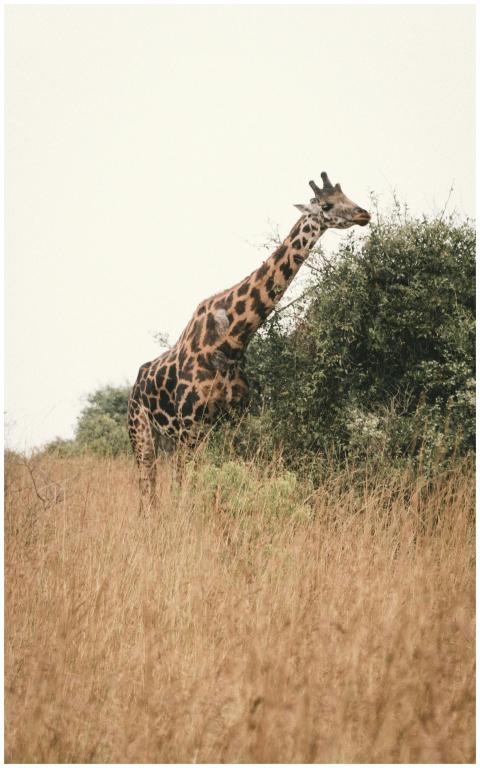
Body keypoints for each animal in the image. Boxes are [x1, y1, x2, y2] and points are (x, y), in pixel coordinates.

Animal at [128, 172, 370, 511]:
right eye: (326, 205)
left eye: (346, 196)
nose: (364, 214)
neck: (230, 343)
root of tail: (136, 383)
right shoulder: (190, 425)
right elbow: (188, 488)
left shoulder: (234, 422)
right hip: (142, 431)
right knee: (147, 483)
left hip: (169, 436)